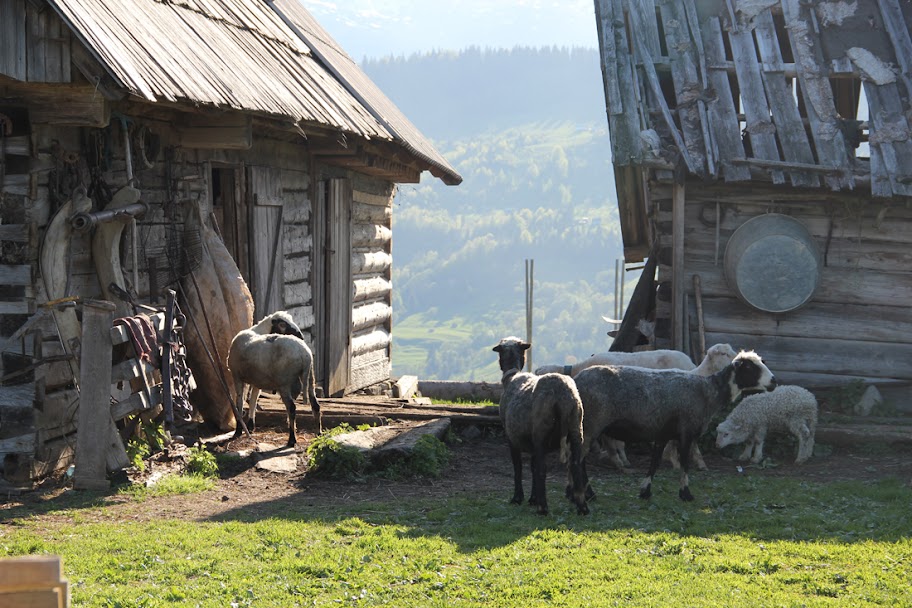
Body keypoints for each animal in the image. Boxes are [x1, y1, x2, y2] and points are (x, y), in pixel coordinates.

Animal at [226, 314, 322, 446]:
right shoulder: (257, 381)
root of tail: (305, 354)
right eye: (282, 324)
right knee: (315, 405)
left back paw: (292, 439)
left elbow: (239, 403)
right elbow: (253, 401)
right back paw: (318, 434)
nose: (301, 336)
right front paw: (250, 426)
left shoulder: (237, 377)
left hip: (284, 383)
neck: (257, 331)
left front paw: (238, 431)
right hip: (310, 377)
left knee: (292, 408)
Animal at [496, 334, 588, 516]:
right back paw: (582, 507)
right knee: (575, 465)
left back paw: (543, 507)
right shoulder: (531, 442)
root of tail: (561, 394)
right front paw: (533, 498)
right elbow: (532, 467)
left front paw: (518, 498)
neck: (511, 376)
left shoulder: (511, 437)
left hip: (541, 431)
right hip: (576, 428)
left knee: (542, 469)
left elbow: (518, 467)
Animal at [572, 352, 772, 504]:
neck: (709, 392)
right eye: (749, 367)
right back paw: (586, 494)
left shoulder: (663, 433)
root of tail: (576, 381)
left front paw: (645, 491)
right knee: (579, 460)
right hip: (591, 424)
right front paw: (686, 494)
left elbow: (654, 463)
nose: (774, 381)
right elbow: (684, 463)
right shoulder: (686, 431)